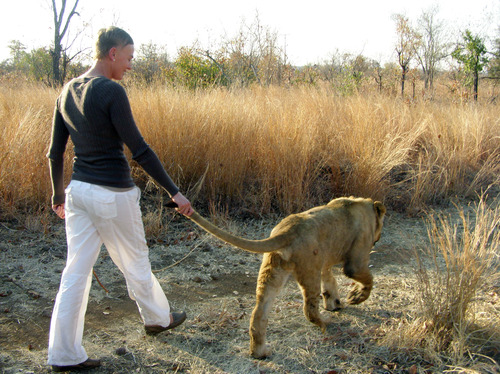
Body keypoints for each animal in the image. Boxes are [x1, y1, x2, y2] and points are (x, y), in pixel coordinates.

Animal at [185, 197, 386, 358]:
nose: (378, 239)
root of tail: (286, 230)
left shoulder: (325, 264)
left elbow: (330, 284)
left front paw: (334, 304)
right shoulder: (356, 260)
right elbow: (367, 279)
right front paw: (355, 297)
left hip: (273, 271)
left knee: (259, 312)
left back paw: (260, 353)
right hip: (309, 269)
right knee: (309, 309)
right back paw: (325, 324)